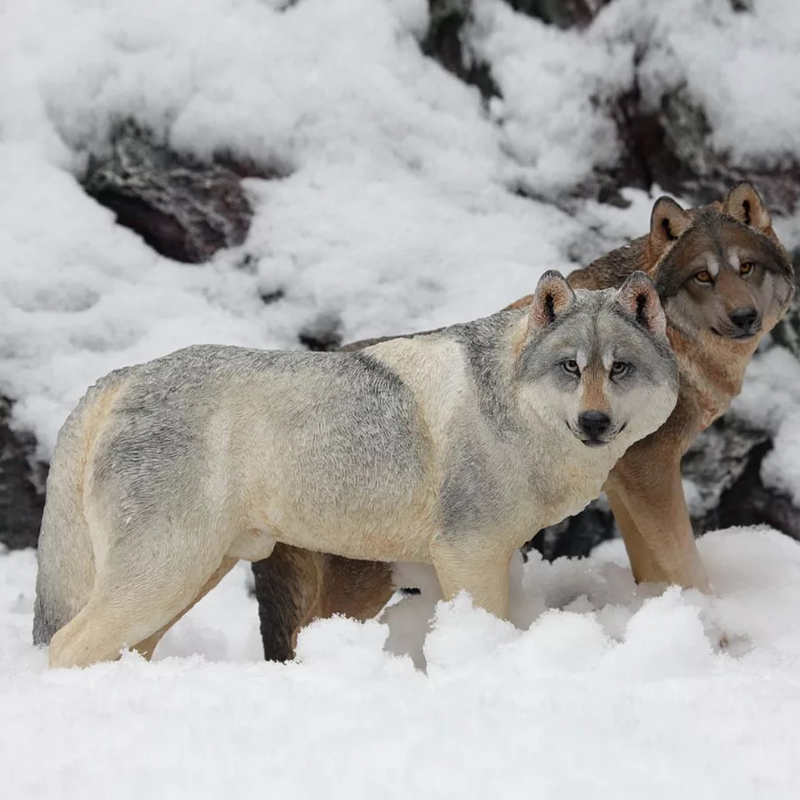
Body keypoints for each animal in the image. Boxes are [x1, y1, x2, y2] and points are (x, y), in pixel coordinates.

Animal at [252, 183, 792, 664]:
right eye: (703, 277)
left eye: (746, 267)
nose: (744, 316)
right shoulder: (649, 474)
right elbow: (685, 561)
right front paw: (717, 635)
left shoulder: (625, 485)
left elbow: (651, 567)